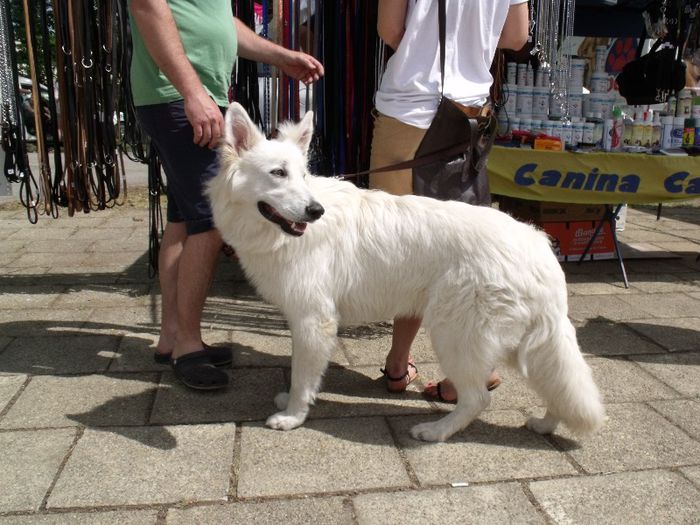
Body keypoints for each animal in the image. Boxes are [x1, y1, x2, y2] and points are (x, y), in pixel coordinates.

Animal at [206, 100, 600, 440]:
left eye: (302, 176)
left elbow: (302, 377)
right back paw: (546, 425)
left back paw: (436, 432)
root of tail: (538, 247)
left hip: (454, 335)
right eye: (278, 174)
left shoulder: (313, 321)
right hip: (523, 343)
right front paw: (290, 404)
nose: (315, 211)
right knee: (555, 386)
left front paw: (292, 416)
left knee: (478, 399)